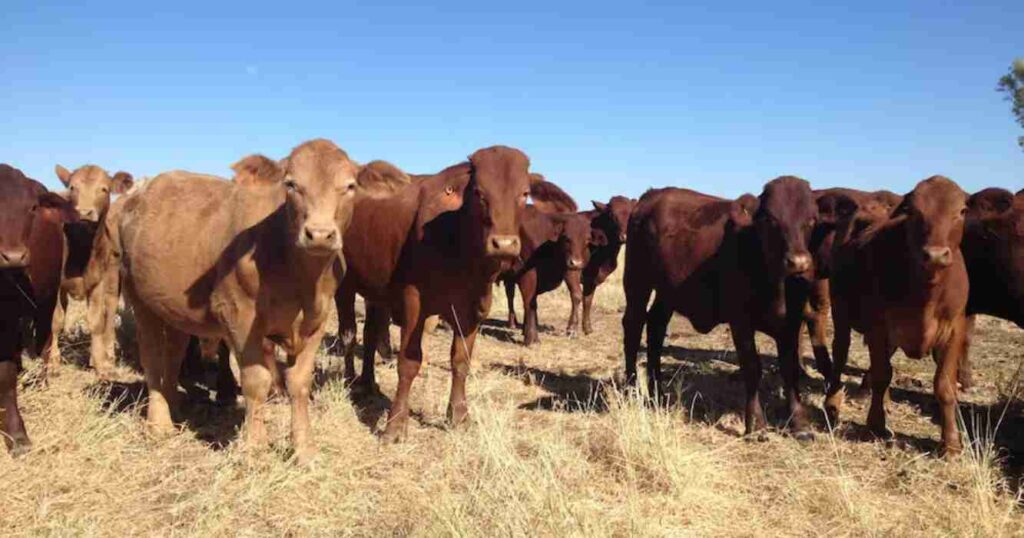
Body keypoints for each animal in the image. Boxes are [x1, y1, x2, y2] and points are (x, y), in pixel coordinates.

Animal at [0, 162, 78, 452]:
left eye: (31, 207)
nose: (14, 257)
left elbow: (5, 375)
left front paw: (17, 435)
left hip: (47, 299)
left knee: (45, 339)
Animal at [335, 143, 532, 440]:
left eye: (524, 194)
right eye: (479, 192)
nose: (504, 244)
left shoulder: (473, 309)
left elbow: (461, 361)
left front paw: (459, 416)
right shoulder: (414, 303)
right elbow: (409, 362)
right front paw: (395, 425)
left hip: (376, 292)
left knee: (369, 335)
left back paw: (369, 383)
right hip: (343, 286)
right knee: (348, 334)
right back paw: (351, 382)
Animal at [581, 194, 634, 334]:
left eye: (631, 214)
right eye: (612, 215)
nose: (624, 237)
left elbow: (589, 299)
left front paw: (588, 327)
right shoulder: (588, 276)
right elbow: (586, 301)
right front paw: (586, 328)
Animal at [618, 178, 819, 438]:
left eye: (811, 219)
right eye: (770, 219)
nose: (798, 262)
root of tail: (650, 196)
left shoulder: (791, 323)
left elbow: (790, 369)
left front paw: (799, 423)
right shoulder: (740, 322)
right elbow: (752, 368)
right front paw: (755, 423)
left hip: (667, 292)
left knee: (655, 328)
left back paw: (658, 395)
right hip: (637, 282)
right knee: (633, 328)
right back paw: (630, 389)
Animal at [827, 176, 970, 452]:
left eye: (961, 211)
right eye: (913, 211)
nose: (935, 255)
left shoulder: (954, 329)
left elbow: (945, 386)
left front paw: (950, 444)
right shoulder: (878, 327)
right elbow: (882, 375)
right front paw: (875, 425)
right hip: (839, 310)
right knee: (840, 353)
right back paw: (832, 404)